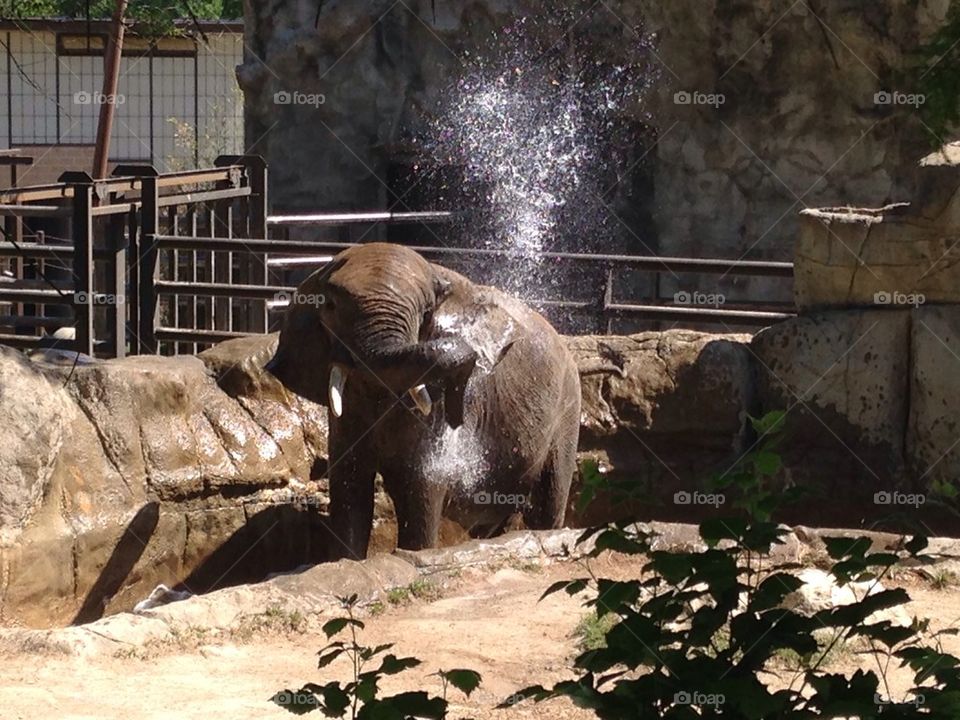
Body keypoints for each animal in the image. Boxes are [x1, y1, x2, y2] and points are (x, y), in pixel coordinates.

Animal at [265, 242, 581, 559]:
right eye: (330, 307)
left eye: (427, 312)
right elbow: (349, 485)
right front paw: (345, 562)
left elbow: (421, 485)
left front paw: (414, 554)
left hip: (568, 408)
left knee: (549, 498)